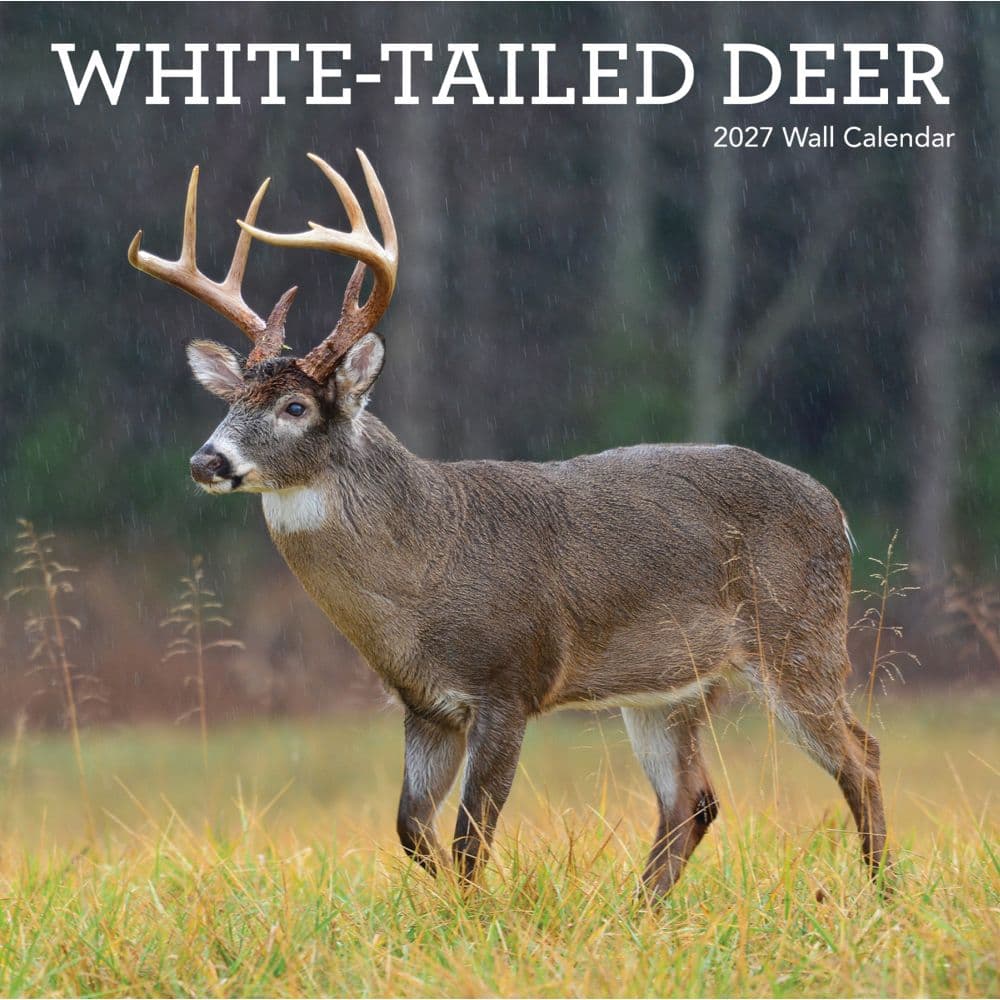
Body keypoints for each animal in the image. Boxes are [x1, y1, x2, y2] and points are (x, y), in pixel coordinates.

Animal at [128, 150, 890, 897]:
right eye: (233, 401)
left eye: (295, 406)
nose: (206, 460)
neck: (423, 571)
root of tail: (836, 511)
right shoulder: (426, 707)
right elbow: (411, 828)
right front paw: (448, 909)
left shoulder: (509, 682)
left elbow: (472, 837)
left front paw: (475, 916)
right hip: (671, 686)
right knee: (692, 799)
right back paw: (638, 912)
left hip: (797, 635)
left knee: (861, 753)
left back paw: (878, 893)